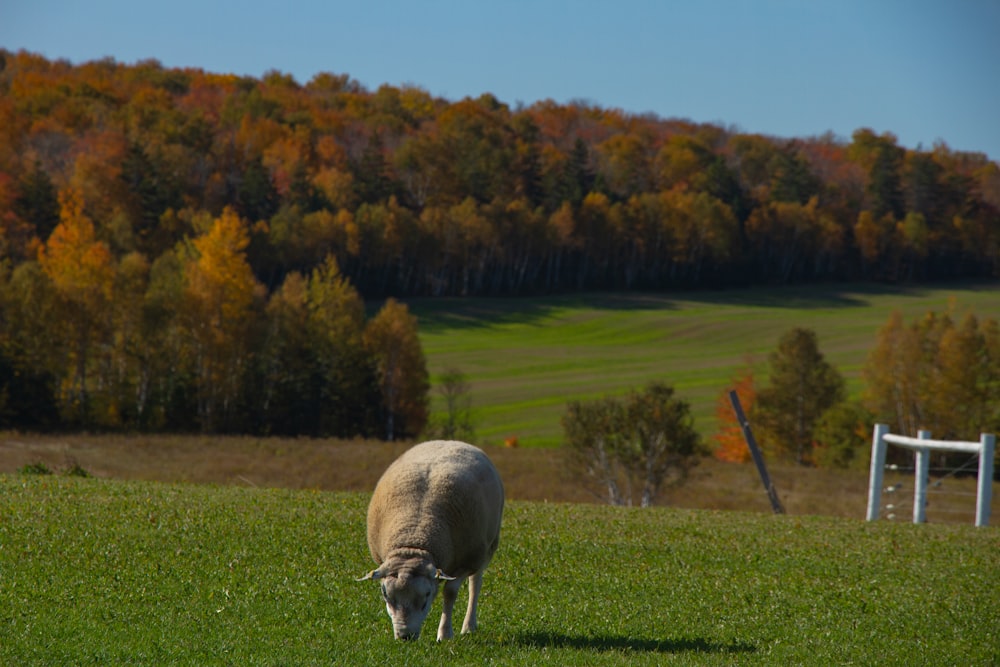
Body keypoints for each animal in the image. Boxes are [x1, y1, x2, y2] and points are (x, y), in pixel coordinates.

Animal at [358, 440, 504, 640]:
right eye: (386, 595)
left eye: (426, 596)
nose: (405, 636)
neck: (414, 541)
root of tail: (450, 441)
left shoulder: (467, 561)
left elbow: (450, 592)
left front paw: (445, 633)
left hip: (487, 548)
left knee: (475, 583)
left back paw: (469, 626)